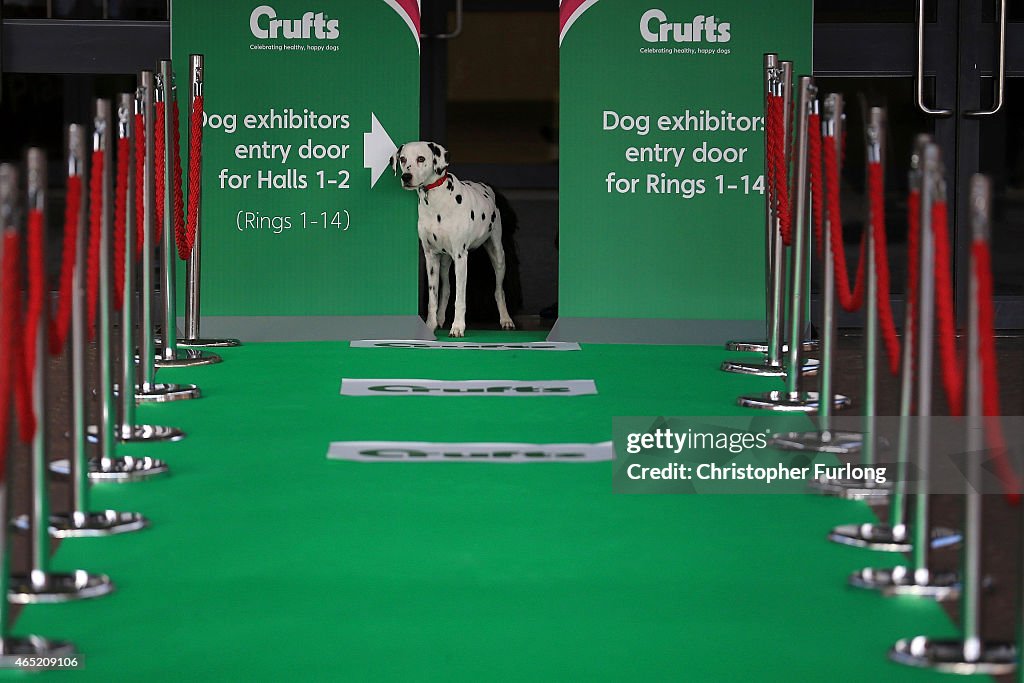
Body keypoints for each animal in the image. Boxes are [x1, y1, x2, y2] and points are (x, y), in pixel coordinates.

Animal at [389, 140, 512, 337]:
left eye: (421, 158)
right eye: (403, 159)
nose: (406, 177)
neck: (436, 202)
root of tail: (486, 187)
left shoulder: (461, 257)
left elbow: (460, 298)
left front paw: (458, 326)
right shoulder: (431, 258)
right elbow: (433, 297)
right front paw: (430, 325)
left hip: (498, 256)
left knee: (499, 291)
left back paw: (506, 319)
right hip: (445, 262)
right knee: (446, 289)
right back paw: (440, 318)